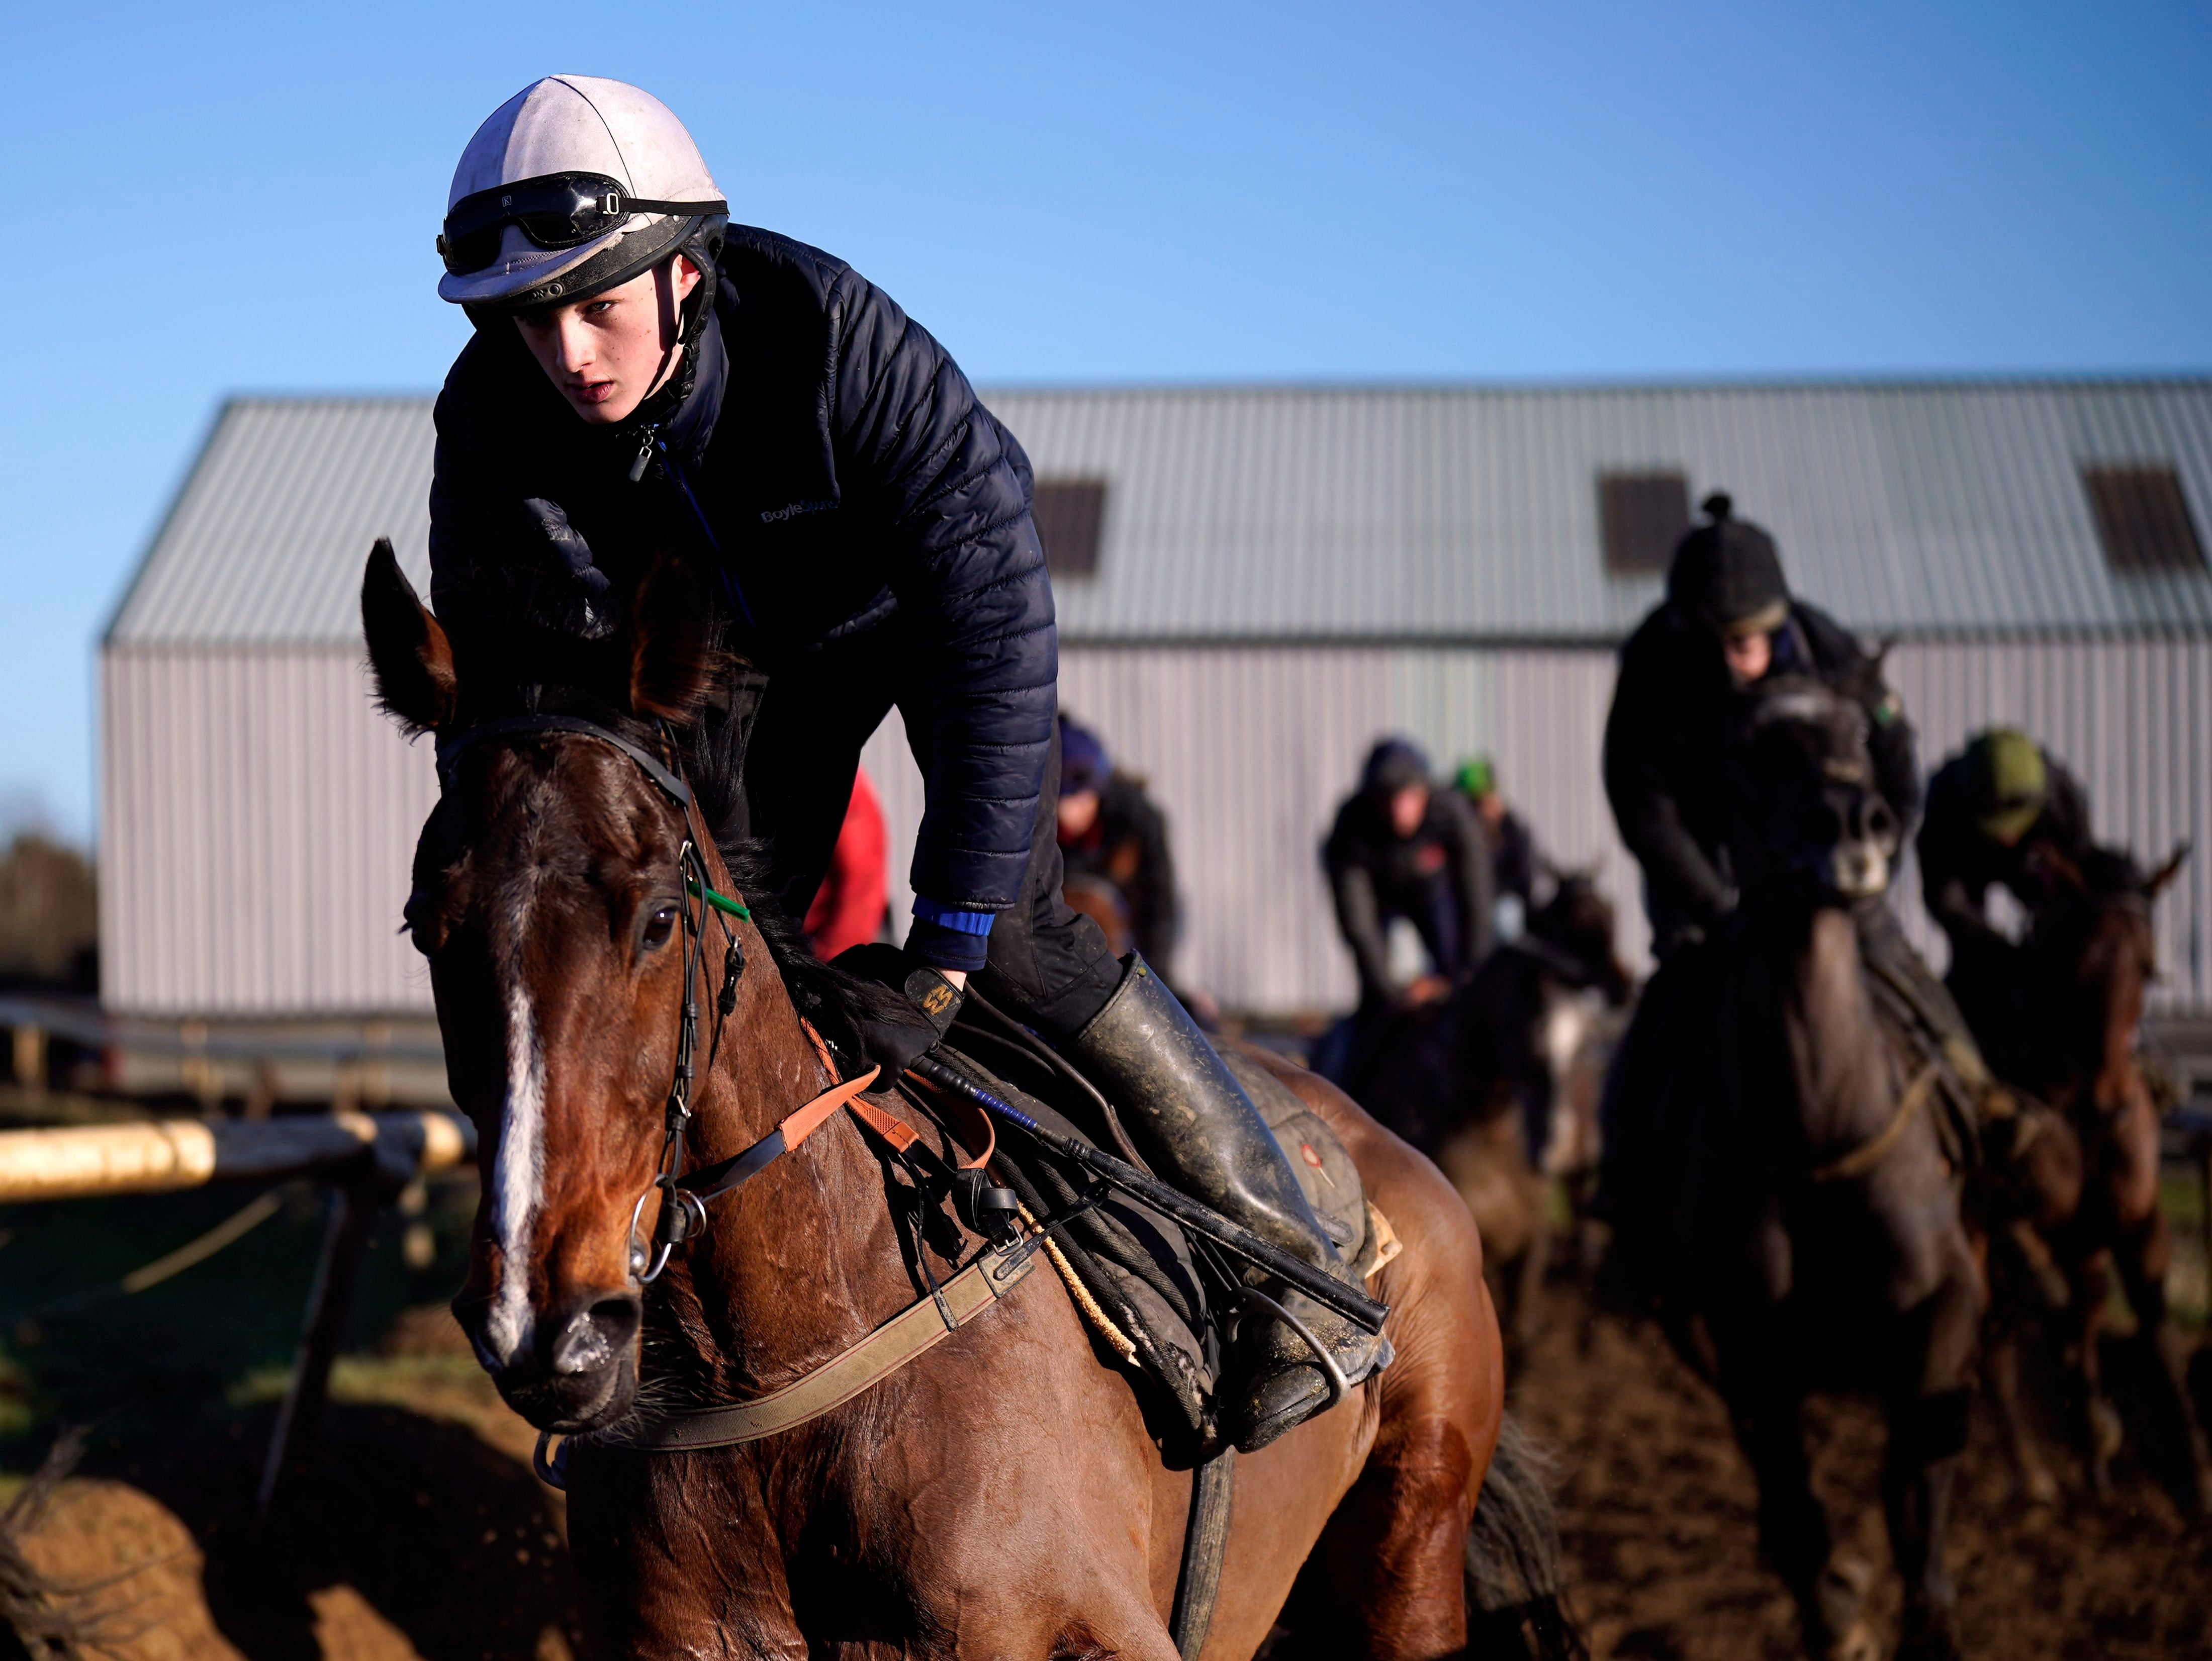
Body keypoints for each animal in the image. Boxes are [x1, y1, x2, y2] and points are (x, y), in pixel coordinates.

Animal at [1672, 681, 1991, 1661]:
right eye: (1751, 746)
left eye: (1863, 729)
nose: (1853, 820)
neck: (1817, 1130)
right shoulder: (1745, 1343)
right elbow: (1797, 1508)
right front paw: (1842, 1614)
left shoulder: (1948, 1301)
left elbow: (1920, 1473)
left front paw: (1930, 1618)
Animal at [1964, 836, 2203, 1513]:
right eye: (2076, 965)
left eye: (2146, 968)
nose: (2108, 1103)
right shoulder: (2018, 1227)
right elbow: (2051, 1315)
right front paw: (2096, 1429)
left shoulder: (2138, 1222)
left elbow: (2157, 1334)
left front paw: (2193, 1474)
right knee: (1997, 1346)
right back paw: (2032, 1472)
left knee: (2076, 1316)